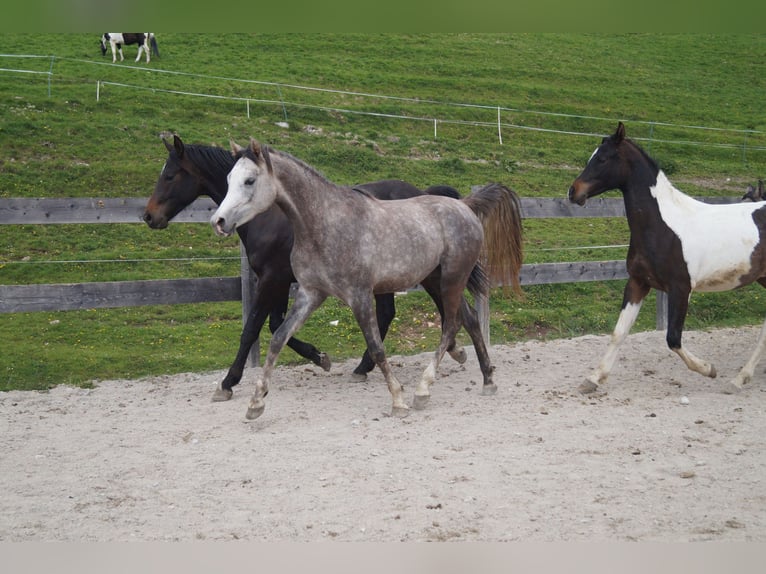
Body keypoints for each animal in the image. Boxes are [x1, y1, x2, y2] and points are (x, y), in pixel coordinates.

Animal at [144, 136, 468, 402]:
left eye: (170, 175)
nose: (149, 216)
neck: (269, 216)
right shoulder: (278, 281)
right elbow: (276, 325)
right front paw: (319, 357)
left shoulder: (272, 280)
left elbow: (252, 329)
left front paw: (228, 382)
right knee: (395, 312)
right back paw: (370, 365)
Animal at [213, 138, 524, 420]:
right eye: (228, 178)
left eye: (250, 180)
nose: (219, 221)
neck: (324, 225)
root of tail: (466, 206)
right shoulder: (310, 294)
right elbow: (278, 338)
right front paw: (255, 403)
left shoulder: (359, 295)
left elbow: (376, 348)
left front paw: (398, 400)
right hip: (438, 280)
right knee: (469, 318)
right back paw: (488, 380)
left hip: (451, 279)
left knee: (451, 324)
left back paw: (423, 390)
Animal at [568, 122, 766, 396]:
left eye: (603, 159)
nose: (573, 192)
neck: (663, 226)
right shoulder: (638, 283)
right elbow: (619, 332)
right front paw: (593, 379)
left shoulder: (681, 288)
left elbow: (673, 338)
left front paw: (709, 369)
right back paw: (741, 377)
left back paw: (738, 378)